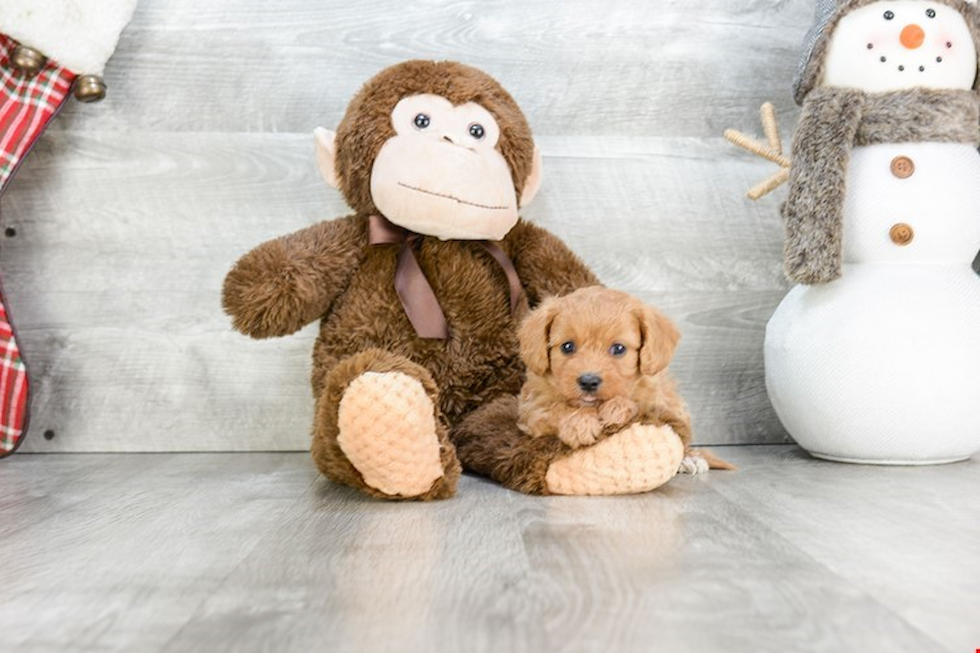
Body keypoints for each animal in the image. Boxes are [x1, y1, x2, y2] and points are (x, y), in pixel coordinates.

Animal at [516, 288, 732, 472]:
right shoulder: (532, 408)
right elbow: (555, 409)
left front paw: (616, 409)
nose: (588, 381)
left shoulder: (657, 402)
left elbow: (639, 405)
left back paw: (690, 457)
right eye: (567, 346)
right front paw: (579, 423)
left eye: (618, 348)